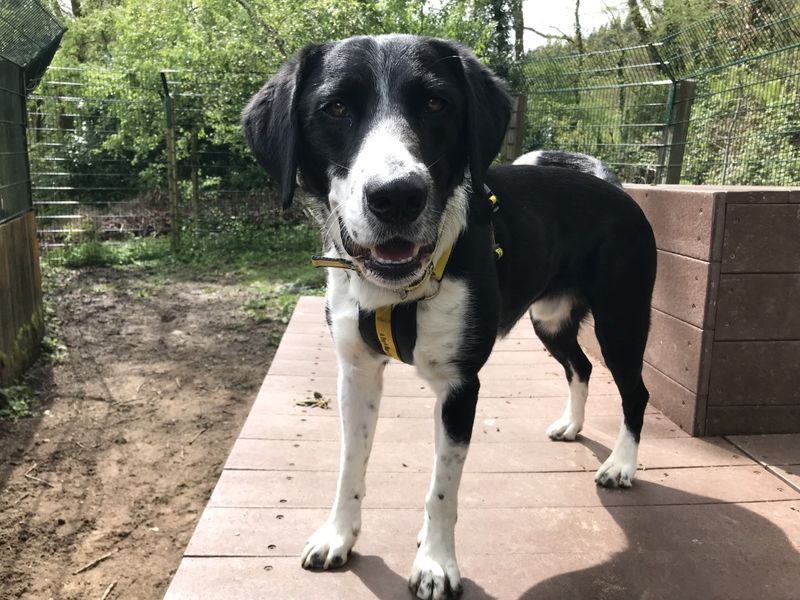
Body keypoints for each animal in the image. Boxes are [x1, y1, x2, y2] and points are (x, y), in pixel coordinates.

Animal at [242, 34, 656, 600]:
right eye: (335, 108)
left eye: (437, 104)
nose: (396, 195)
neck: (396, 292)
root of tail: (614, 186)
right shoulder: (356, 374)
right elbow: (350, 465)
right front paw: (338, 536)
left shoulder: (462, 388)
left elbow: (442, 488)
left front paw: (436, 564)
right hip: (549, 320)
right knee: (581, 365)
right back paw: (572, 425)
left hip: (621, 321)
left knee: (635, 391)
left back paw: (621, 465)